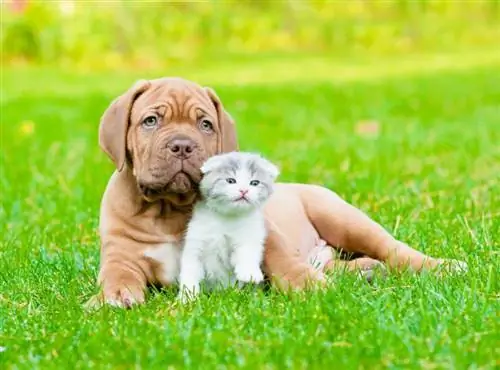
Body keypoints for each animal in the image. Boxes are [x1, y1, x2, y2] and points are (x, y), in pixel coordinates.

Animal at [178, 152, 280, 302]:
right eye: (231, 180)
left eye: (254, 183)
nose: (243, 190)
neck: (227, 217)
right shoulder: (196, 243)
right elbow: (190, 271)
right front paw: (187, 298)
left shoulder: (250, 236)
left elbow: (247, 252)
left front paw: (249, 272)